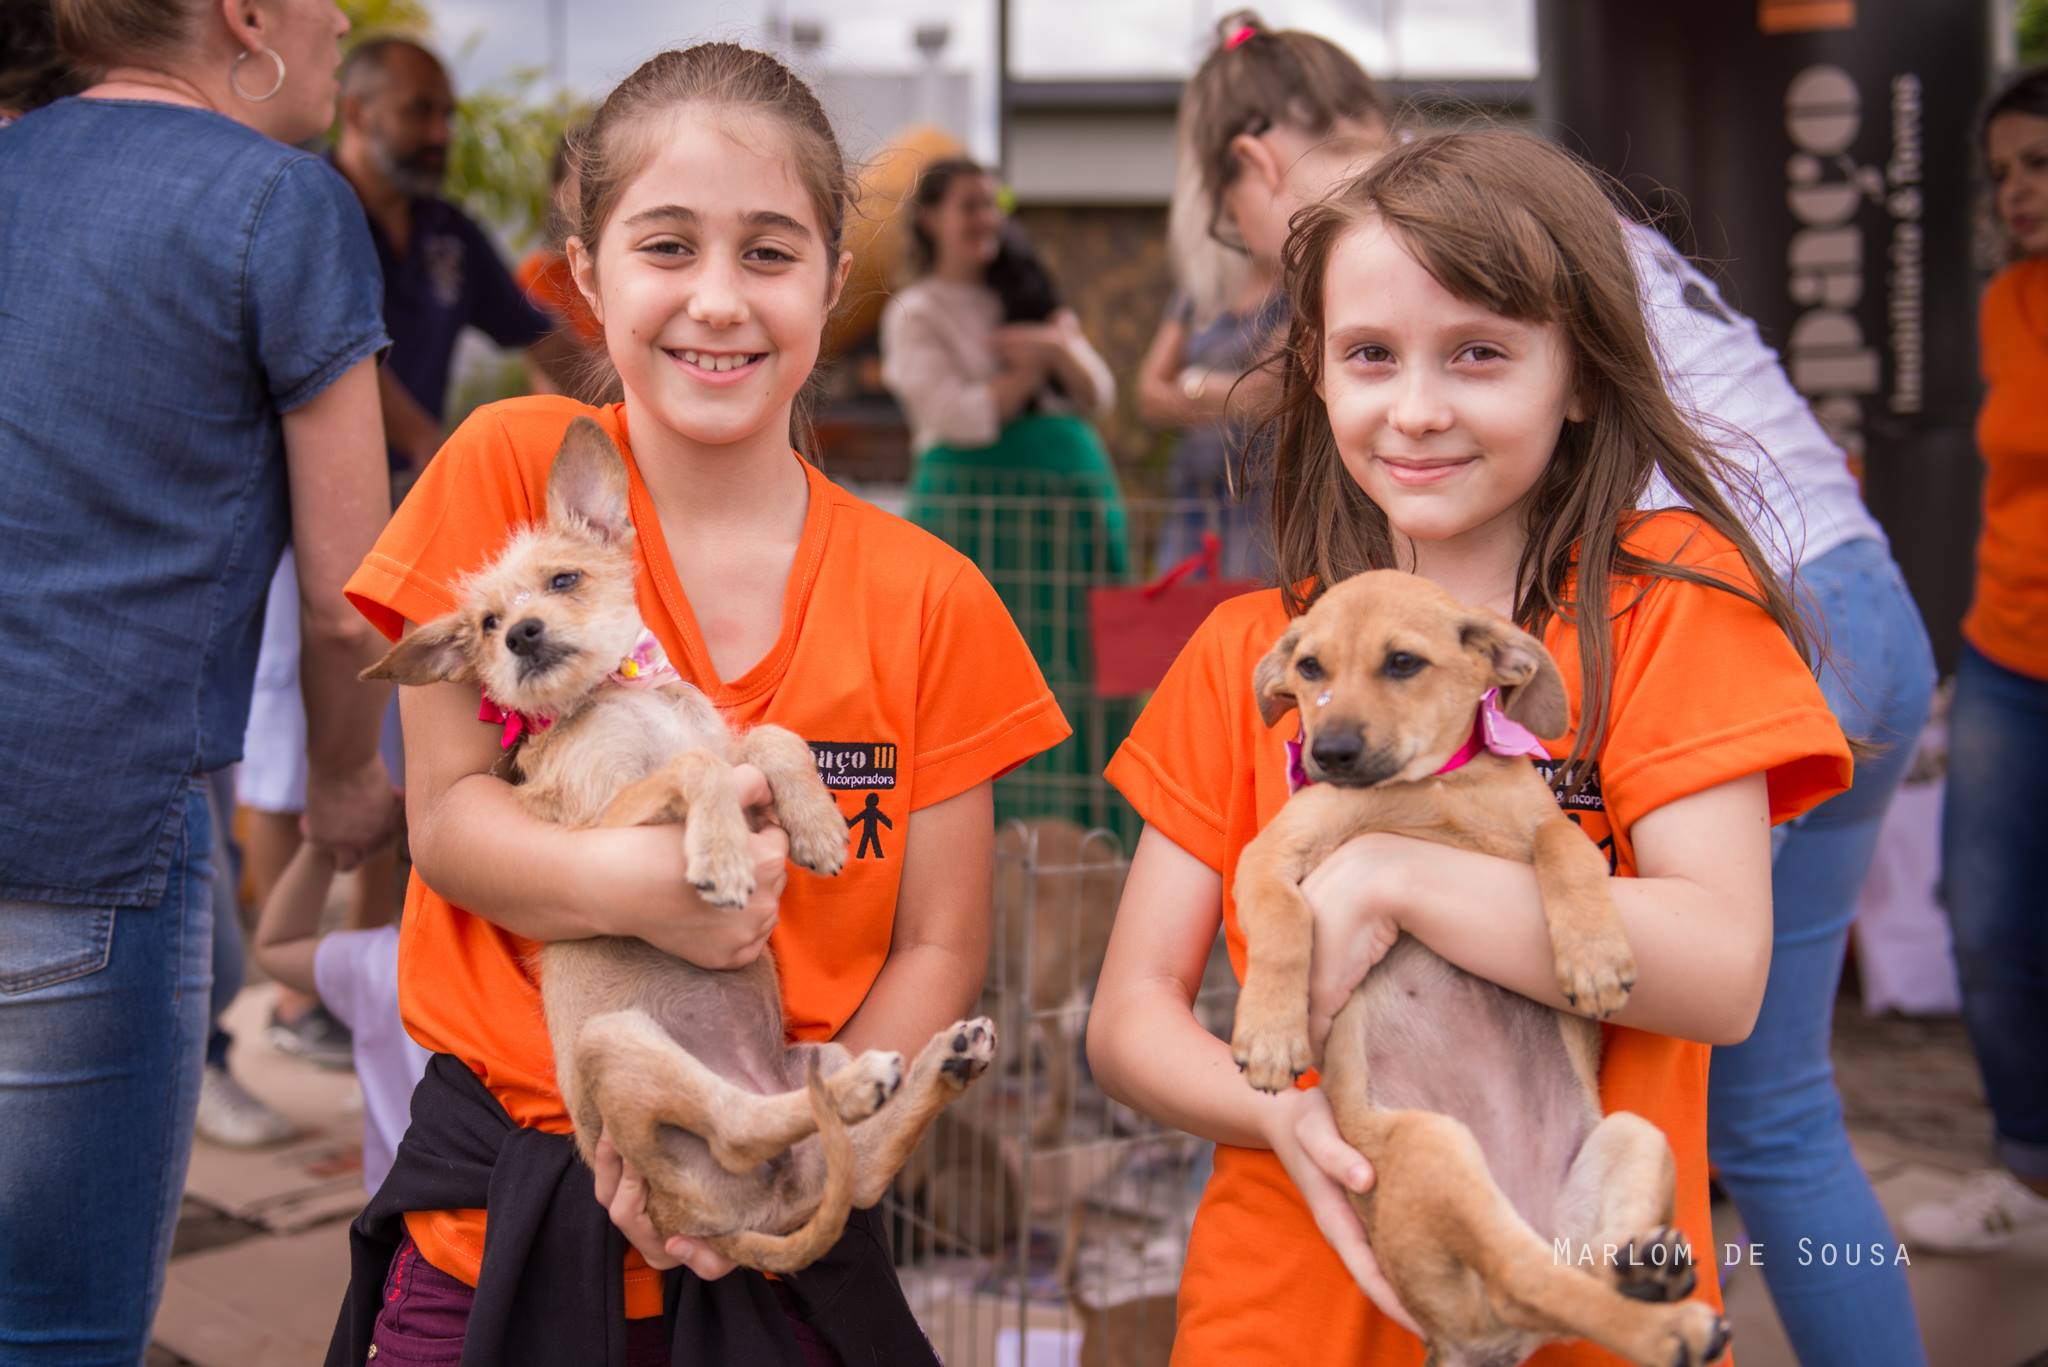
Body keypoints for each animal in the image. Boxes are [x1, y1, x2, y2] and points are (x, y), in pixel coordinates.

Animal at [376, 422, 1007, 1278]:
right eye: (484, 626)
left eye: (564, 578)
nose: (521, 635)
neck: (622, 693)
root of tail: (721, 1224)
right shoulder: (599, 827)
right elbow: (694, 766)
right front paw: (724, 855)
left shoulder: (741, 760)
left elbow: (768, 740)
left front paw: (817, 824)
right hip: (623, 1043)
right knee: (742, 1127)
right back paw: (871, 1083)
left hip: (816, 1062)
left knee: (864, 1167)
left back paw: (946, 1057)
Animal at [1228, 573, 1728, 1367]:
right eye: (1309, 668)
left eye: (1403, 662)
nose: (1327, 753)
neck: (1432, 789)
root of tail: (1462, 1334)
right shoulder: (1272, 852)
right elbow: (1285, 921)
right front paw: (1271, 1034)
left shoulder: (1535, 826)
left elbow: (1564, 843)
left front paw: (1594, 953)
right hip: (1439, 1149)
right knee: (1530, 1277)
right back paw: (1669, 1322)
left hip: (1631, 1136)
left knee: (1568, 1273)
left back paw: (1649, 1275)